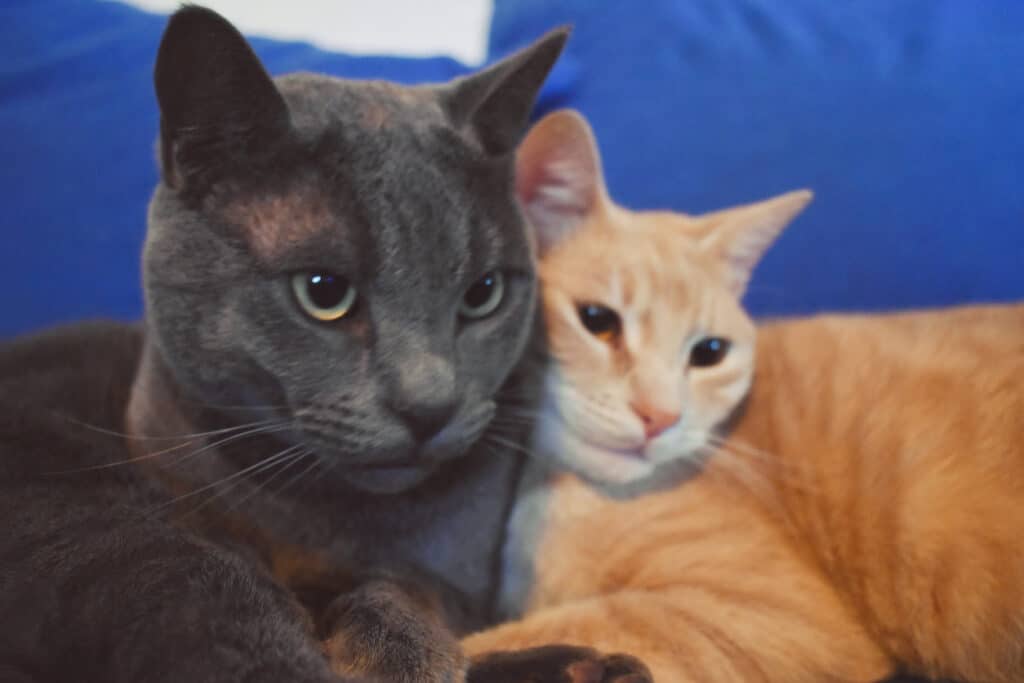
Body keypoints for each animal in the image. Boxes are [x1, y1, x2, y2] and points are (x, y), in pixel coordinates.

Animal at [0, 5, 647, 683]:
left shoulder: (464, 579)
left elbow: (404, 586)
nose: (429, 406)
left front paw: (397, 641)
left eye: (483, 293)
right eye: (323, 290)